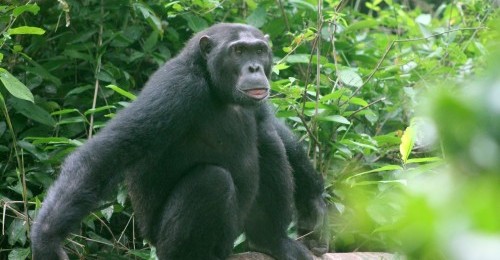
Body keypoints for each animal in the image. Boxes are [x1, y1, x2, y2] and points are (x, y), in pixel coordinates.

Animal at [31, 23, 328, 260]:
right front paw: (46, 241)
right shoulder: (177, 89)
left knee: (267, 139)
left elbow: (272, 125)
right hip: (179, 245)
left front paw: (313, 204)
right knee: (211, 181)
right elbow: (108, 153)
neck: (212, 81)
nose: (254, 66)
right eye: (238, 52)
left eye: (259, 50)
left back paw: (271, 241)